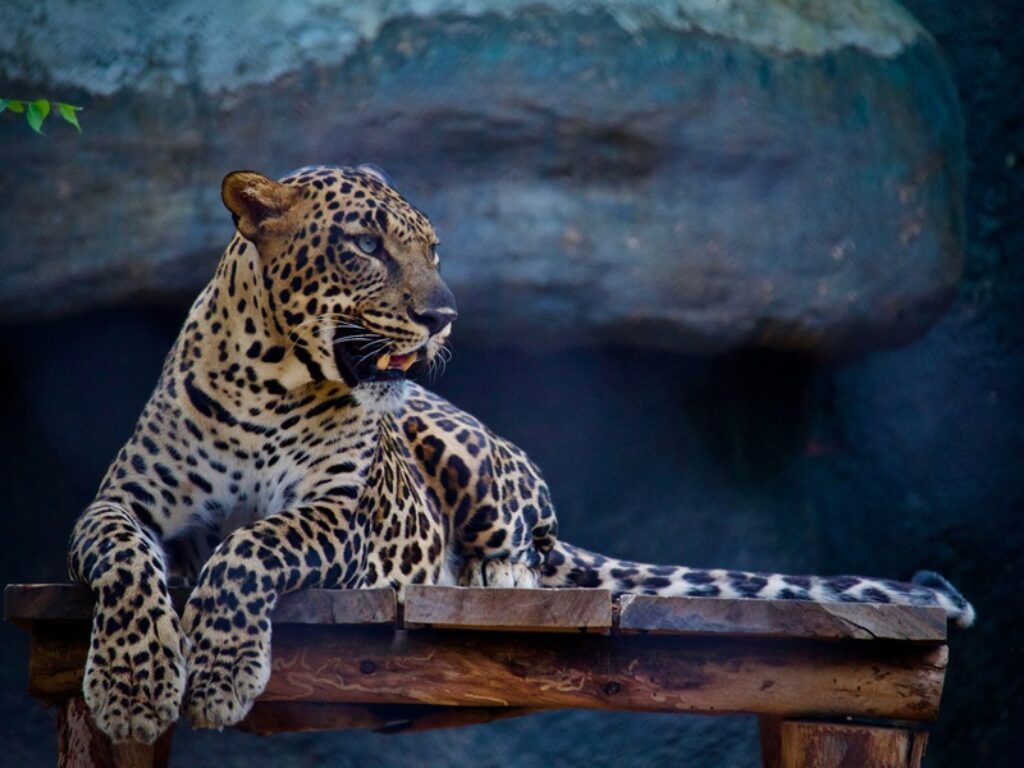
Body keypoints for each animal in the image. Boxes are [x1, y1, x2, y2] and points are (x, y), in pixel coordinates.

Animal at [68, 164, 975, 744]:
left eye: (433, 250)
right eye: (366, 245)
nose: (443, 315)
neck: (270, 378)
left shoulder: (340, 514)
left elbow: (250, 547)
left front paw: (219, 679)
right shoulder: (121, 502)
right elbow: (125, 559)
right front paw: (133, 689)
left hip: (465, 449)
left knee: (525, 544)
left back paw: (491, 575)